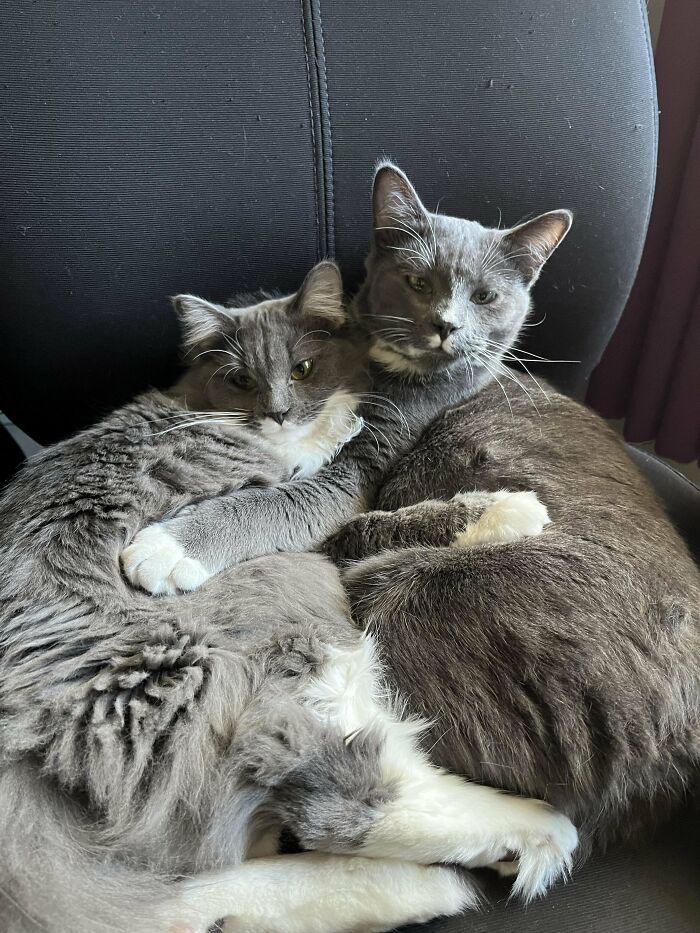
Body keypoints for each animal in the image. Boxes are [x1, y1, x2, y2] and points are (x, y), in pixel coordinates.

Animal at [0, 256, 576, 932]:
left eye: (302, 368)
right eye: (240, 380)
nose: (277, 412)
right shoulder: (317, 498)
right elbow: (346, 506)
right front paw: (508, 508)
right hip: (275, 659)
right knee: (344, 807)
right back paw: (528, 839)